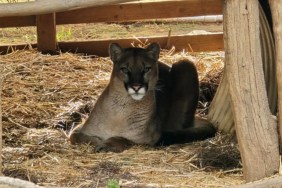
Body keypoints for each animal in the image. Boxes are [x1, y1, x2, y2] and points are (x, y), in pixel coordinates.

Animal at [69, 43, 215, 153]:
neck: (120, 111)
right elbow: (74, 136)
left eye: (146, 69)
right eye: (125, 69)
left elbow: (123, 139)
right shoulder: (80, 128)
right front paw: (96, 141)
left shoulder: (149, 139)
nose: (136, 86)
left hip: (186, 65)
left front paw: (105, 144)